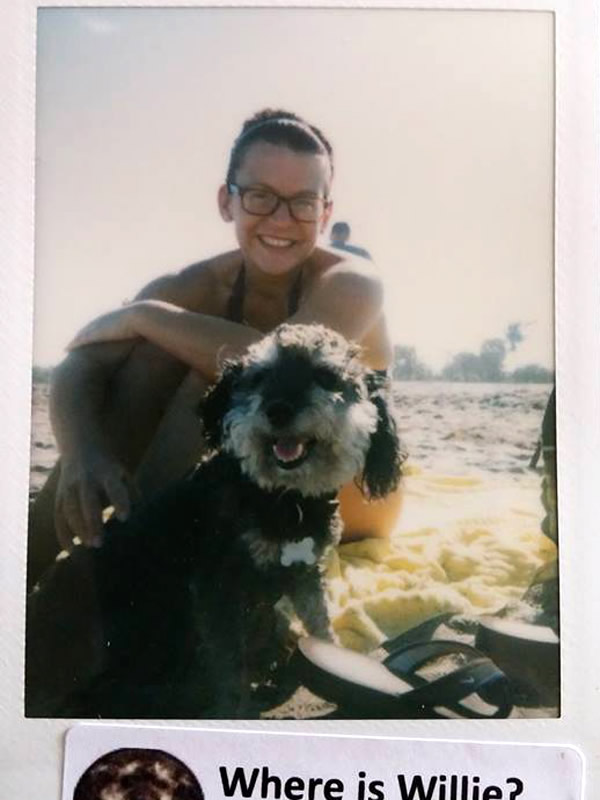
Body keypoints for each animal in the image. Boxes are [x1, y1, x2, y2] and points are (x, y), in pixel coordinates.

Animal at [26, 323, 404, 719]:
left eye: (325, 376)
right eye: (260, 377)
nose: (278, 410)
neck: (284, 499)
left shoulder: (305, 573)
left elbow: (319, 624)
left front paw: (331, 661)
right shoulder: (218, 586)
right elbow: (230, 666)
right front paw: (236, 709)